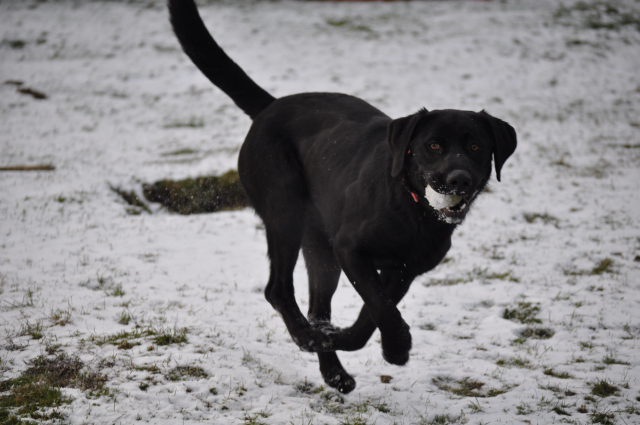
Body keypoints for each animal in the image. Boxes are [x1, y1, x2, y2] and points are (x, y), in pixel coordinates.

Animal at [169, 0, 516, 394]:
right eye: (433, 146)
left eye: (475, 146)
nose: (458, 179)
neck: (413, 210)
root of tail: (270, 107)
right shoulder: (351, 249)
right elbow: (381, 307)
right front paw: (396, 346)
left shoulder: (404, 269)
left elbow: (371, 315)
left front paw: (348, 340)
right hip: (286, 210)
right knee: (277, 289)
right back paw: (305, 336)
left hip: (320, 249)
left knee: (317, 307)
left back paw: (331, 365)